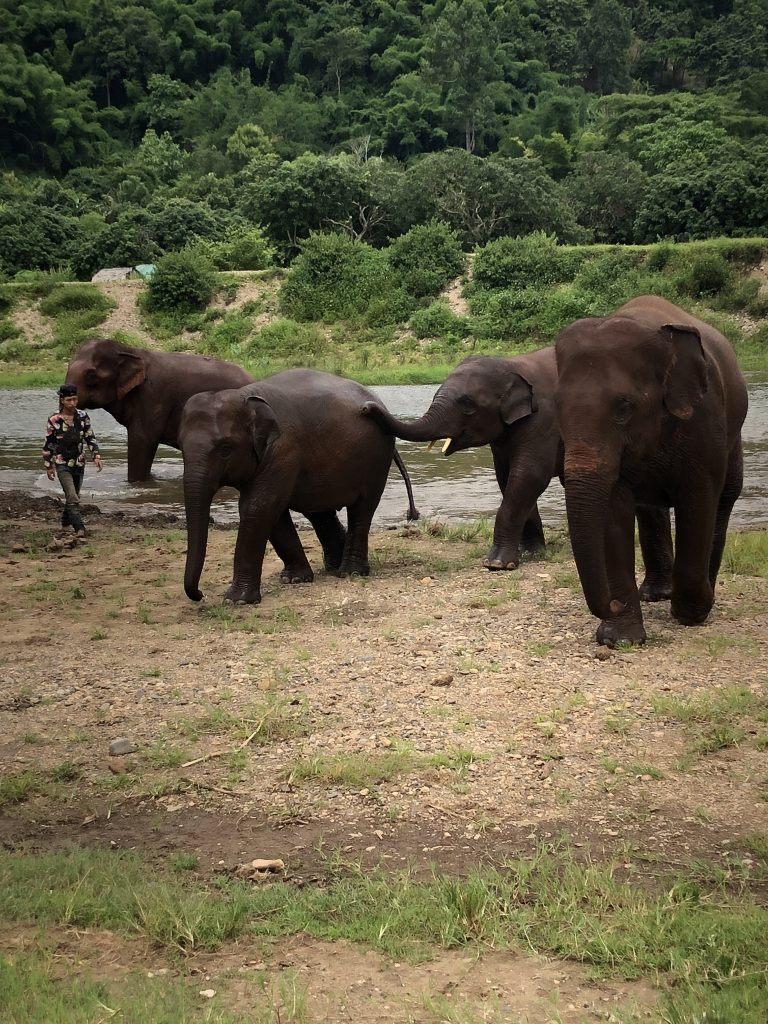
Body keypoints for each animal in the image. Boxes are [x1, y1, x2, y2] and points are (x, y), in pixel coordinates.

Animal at [180, 368, 421, 602]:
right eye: (180, 447)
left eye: (225, 449)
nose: (199, 594)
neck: (244, 396)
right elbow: (272, 512)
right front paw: (294, 579)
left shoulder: (283, 449)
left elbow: (258, 507)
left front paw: (235, 600)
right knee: (319, 512)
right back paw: (333, 567)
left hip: (376, 460)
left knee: (362, 509)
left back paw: (350, 572)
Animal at [364, 350, 561, 577]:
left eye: (467, 404)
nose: (367, 407)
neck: (510, 364)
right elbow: (508, 478)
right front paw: (531, 553)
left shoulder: (544, 422)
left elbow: (530, 475)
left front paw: (497, 564)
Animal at [557, 296, 749, 647]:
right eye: (556, 406)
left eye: (623, 406)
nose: (612, 604)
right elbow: (614, 512)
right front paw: (619, 639)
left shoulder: (706, 422)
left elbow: (699, 500)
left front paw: (692, 614)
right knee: (649, 508)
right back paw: (656, 594)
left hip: (733, 431)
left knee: (725, 498)